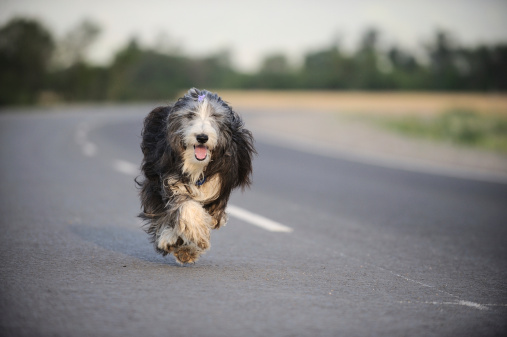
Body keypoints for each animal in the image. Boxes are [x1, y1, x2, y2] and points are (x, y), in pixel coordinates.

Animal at [137, 88, 256, 264]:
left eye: (215, 115)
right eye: (190, 115)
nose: (202, 137)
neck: (197, 167)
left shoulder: (217, 191)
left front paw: (189, 245)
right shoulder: (168, 180)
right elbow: (184, 206)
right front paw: (194, 234)